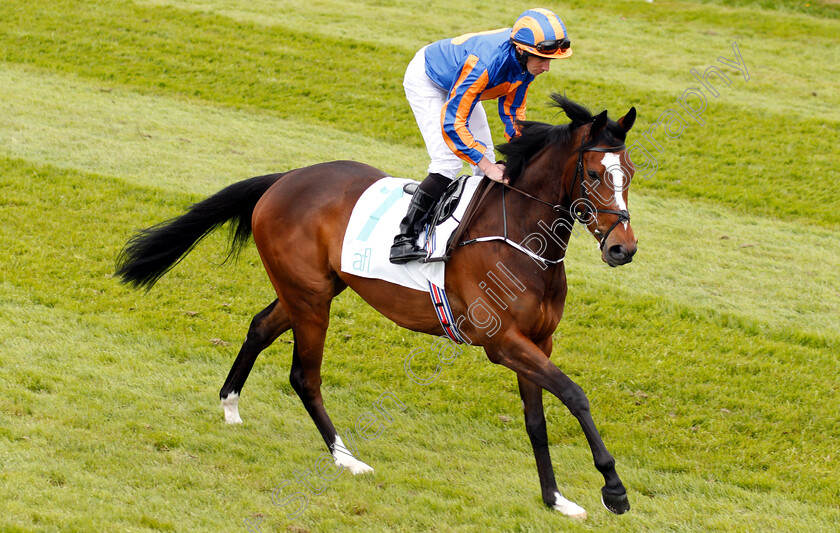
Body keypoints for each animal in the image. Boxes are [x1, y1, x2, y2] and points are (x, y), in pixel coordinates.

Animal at [113, 93, 636, 516]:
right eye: (594, 174)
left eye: (629, 174)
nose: (622, 249)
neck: (522, 239)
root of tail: (286, 178)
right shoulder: (501, 341)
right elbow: (574, 394)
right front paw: (613, 488)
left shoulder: (537, 340)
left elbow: (536, 419)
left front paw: (555, 499)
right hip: (310, 298)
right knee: (304, 375)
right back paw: (345, 457)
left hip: (312, 290)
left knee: (260, 326)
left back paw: (231, 406)